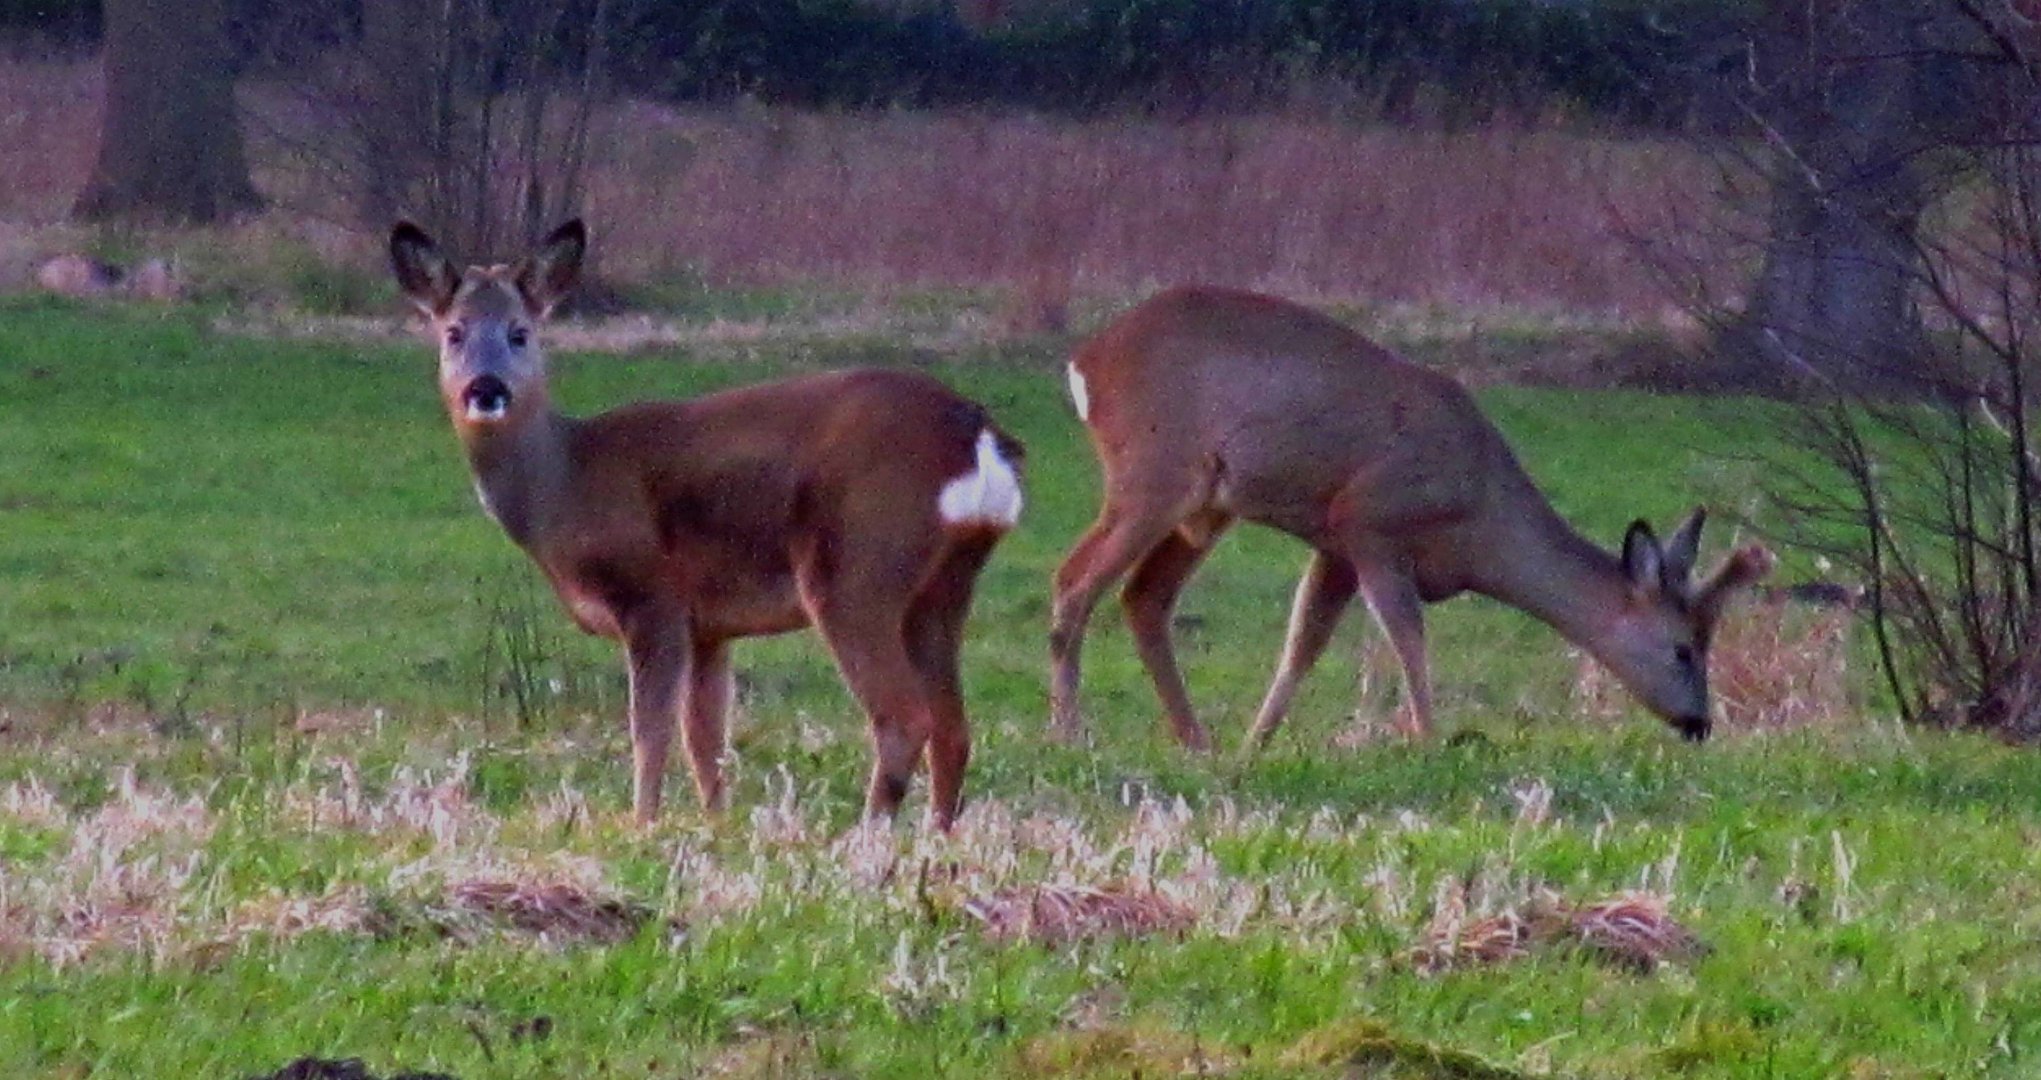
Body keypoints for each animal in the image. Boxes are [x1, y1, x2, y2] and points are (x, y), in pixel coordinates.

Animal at [385, 218, 1020, 824]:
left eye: (520, 332)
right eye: (454, 332)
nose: (486, 389)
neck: (566, 483)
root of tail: (975, 432)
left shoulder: (651, 596)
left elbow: (650, 731)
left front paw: (643, 822)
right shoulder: (710, 625)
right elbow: (705, 737)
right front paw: (715, 824)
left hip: (857, 566)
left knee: (905, 716)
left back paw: (868, 835)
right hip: (944, 587)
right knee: (953, 727)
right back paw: (936, 837)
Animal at [1053, 289, 1771, 755]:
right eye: (1682, 648)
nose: (1699, 723)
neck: (1479, 521)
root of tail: (1086, 362)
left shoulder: (1333, 546)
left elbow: (1302, 645)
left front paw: (1256, 743)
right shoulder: (1369, 522)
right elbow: (1407, 636)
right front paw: (1428, 739)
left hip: (1207, 505)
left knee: (1143, 597)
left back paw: (1196, 741)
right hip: (1153, 472)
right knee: (1073, 579)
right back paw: (1067, 733)